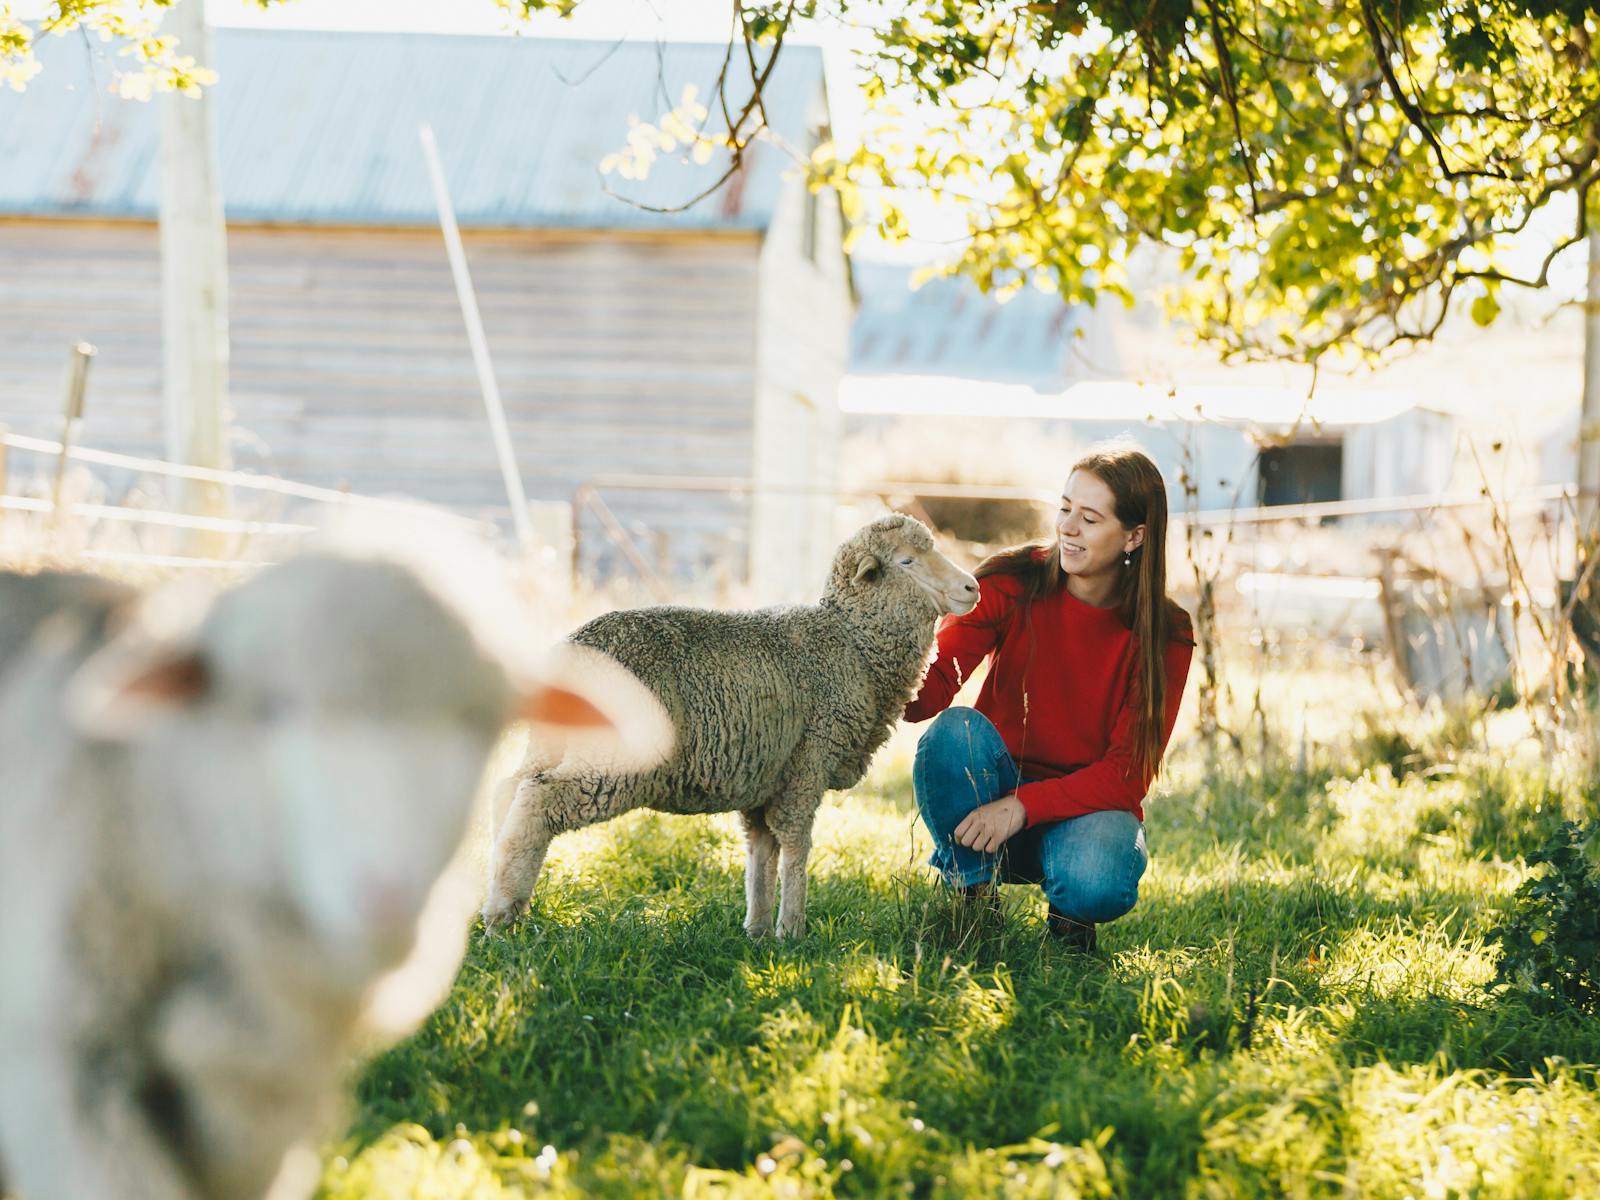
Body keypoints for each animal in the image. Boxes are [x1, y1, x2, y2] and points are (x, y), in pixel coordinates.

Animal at [476, 512, 972, 947]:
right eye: (906, 561)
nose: (972, 586)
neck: (853, 643)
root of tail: (572, 650)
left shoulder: (766, 776)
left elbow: (761, 851)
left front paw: (758, 930)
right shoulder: (808, 762)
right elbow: (796, 845)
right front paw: (792, 931)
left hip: (553, 741)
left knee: (509, 791)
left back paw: (493, 894)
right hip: (612, 758)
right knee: (538, 801)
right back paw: (503, 917)